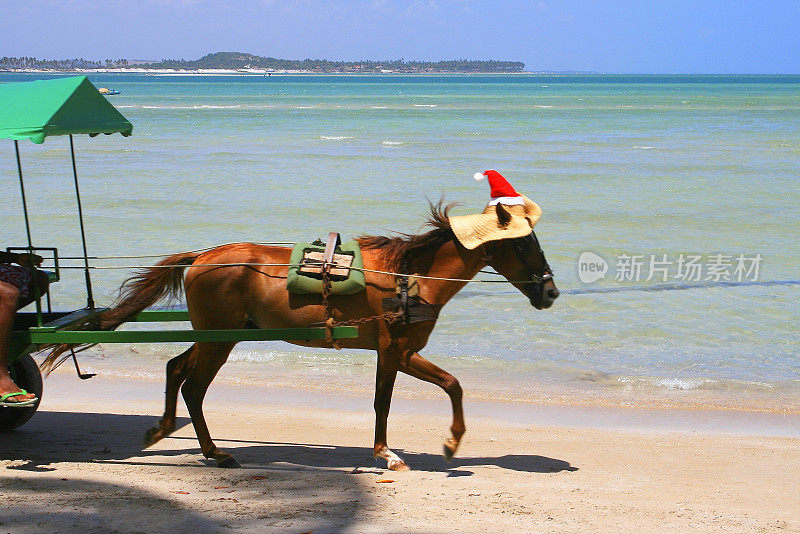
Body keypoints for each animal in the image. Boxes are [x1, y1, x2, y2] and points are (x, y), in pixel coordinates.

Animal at [47, 203, 560, 472]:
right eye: (521, 243)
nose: (551, 291)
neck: (408, 277)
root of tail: (202, 257)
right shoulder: (396, 350)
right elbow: (411, 396)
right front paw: (405, 450)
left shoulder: (396, 352)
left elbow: (430, 391)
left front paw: (429, 445)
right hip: (219, 338)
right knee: (193, 385)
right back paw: (211, 451)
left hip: (220, 335)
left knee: (177, 370)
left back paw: (170, 431)